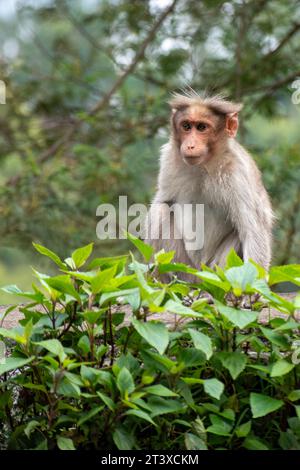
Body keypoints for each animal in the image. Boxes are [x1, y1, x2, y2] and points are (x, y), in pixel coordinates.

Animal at [145, 90, 274, 280]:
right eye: (186, 126)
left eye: (201, 127)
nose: (190, 145)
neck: (204, 165)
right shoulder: (168, 158)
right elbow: (164, 201)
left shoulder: (238, 174)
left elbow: (253, 232)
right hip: (185, 268)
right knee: (161, 210)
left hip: (212, 271)